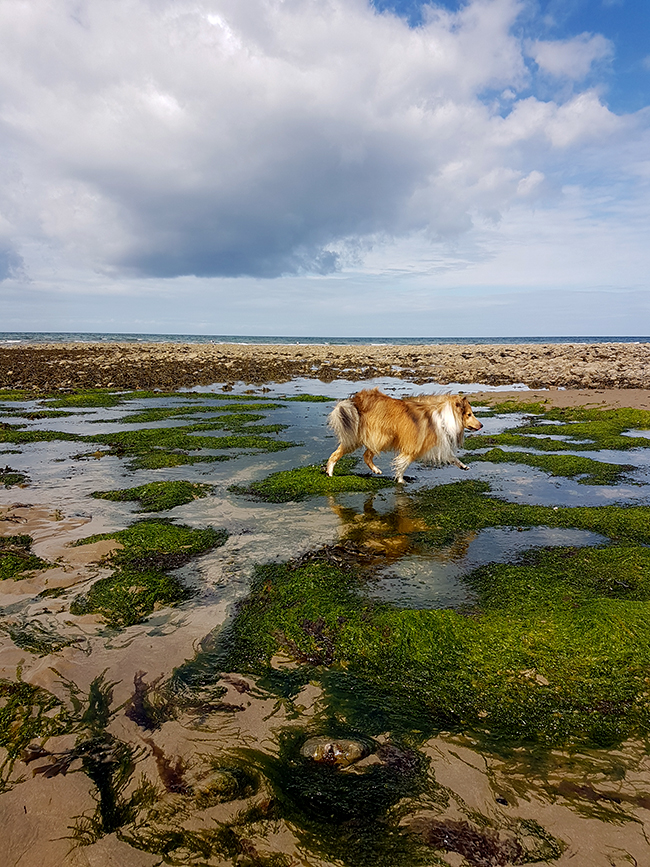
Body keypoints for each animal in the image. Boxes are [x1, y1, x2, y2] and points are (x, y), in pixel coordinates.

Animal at [324, 390, 480, 484]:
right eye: (469, 414)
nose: (481, 425)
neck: (444, 415)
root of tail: (358, 400)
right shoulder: (413, 447)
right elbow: (402, 464)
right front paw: (400, 481)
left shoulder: (437, 443)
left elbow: (451, 456)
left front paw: (463, 466)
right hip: (382, 437)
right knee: (365, 454)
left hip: (359, 436)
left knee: (342, 453)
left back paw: (332, 472)